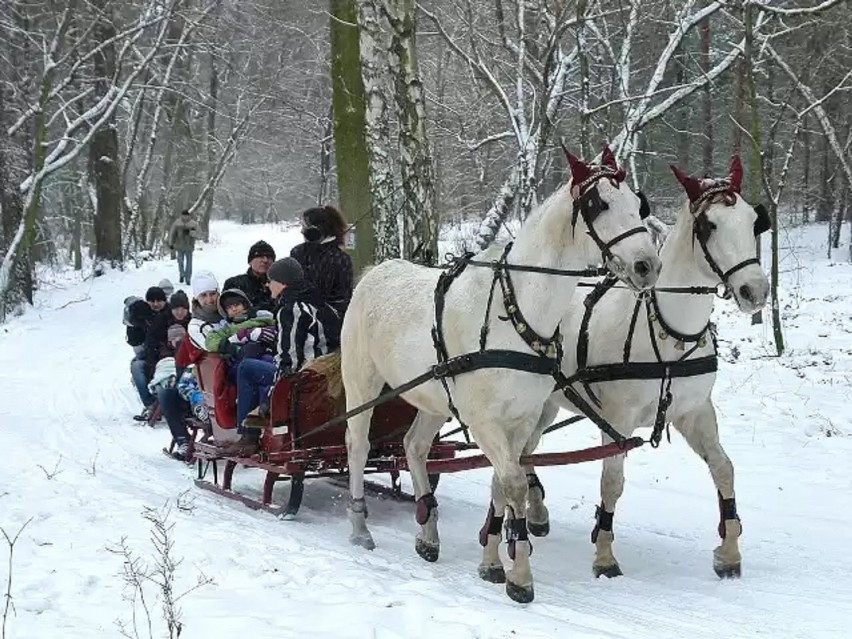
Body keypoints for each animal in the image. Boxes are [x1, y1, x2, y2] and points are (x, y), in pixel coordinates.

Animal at [342, 146, 664, 604]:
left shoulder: (521, 419)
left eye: (640, 205)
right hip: (361, 384)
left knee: (414, 446)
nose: (646, 266)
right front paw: (520, 574)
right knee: (357, 445)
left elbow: (500, 482)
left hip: (435, 398)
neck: (515, 312)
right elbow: (512, 484)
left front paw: (494, 561)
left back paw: (428, 532)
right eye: (597, 204)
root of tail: (374, 272)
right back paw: (359, 527)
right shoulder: (484, 421)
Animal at [480, 155, 772, 584]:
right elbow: (612, 482)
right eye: (709, 225)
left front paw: (729, 551)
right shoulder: (616, 419)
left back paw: (534, 511)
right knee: (520, 456)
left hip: (543, 405)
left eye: (754, 221)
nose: (755, 291)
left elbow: (724, 469)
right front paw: (604, 553)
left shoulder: (696, 412)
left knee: (526, 455)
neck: (669, 336)